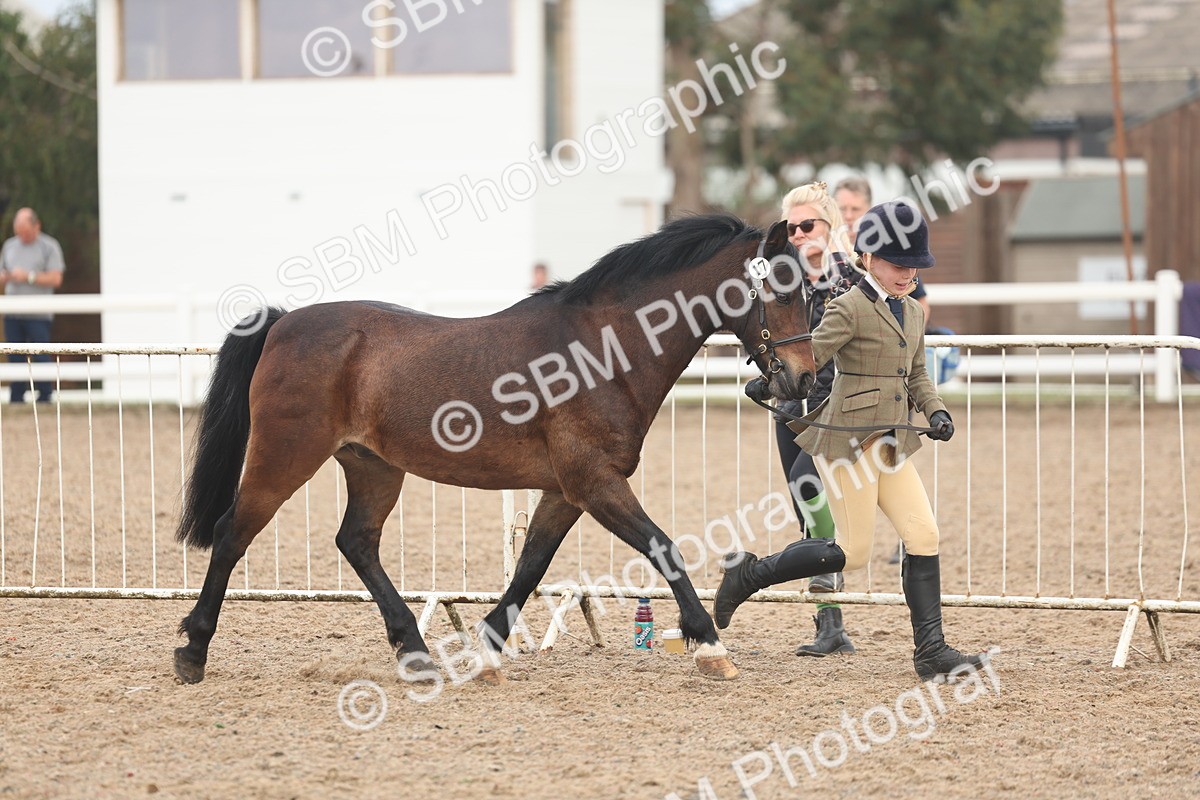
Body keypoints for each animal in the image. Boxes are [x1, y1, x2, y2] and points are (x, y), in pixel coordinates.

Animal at [173, 213, 816, 685]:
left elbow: (530, 567)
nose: (804, 379)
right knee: (233, 533)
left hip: (373, 467)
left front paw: (484, 654)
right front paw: (709, 645)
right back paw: (193, 652)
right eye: (782, 289)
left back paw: (415, 651)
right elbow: (664, 549)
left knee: (356, 542)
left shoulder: (566, 491)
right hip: (285, 455)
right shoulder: (595, 483)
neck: (602, 350)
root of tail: (283, 324)